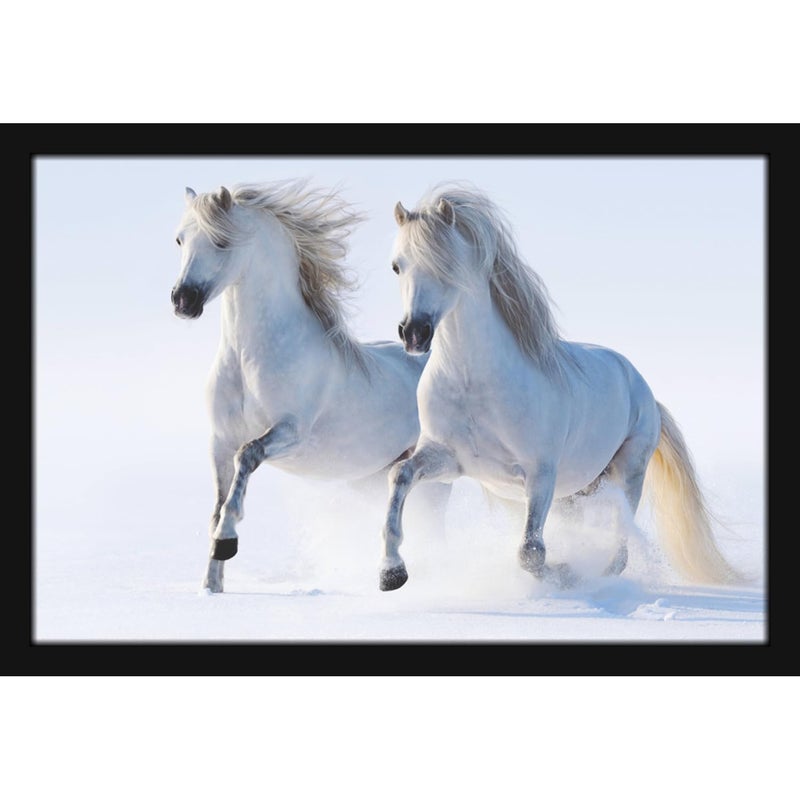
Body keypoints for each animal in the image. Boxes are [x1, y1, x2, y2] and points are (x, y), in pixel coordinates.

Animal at [170, 179, 448, 593]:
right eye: (180, 239)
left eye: (221, 241)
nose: (182, 300)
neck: (249, 360)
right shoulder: (220, 441)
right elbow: (217, 506)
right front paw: (212, 586)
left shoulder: (290, 432)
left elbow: (247, 458)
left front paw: (227, 543)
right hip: (371, 478)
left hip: (435, 477)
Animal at [378, 181, 740, 592]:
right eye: (397, 265)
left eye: (447, 264)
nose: (414, 333)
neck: (474, 385)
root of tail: (644, 389)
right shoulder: (448, 459)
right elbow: (399, 476)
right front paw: (391, 572)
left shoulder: (540, 474)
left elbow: (531, 552)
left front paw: (566, 573)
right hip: (575, 492)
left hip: (627, 473)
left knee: (619, 546)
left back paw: (597, 577)